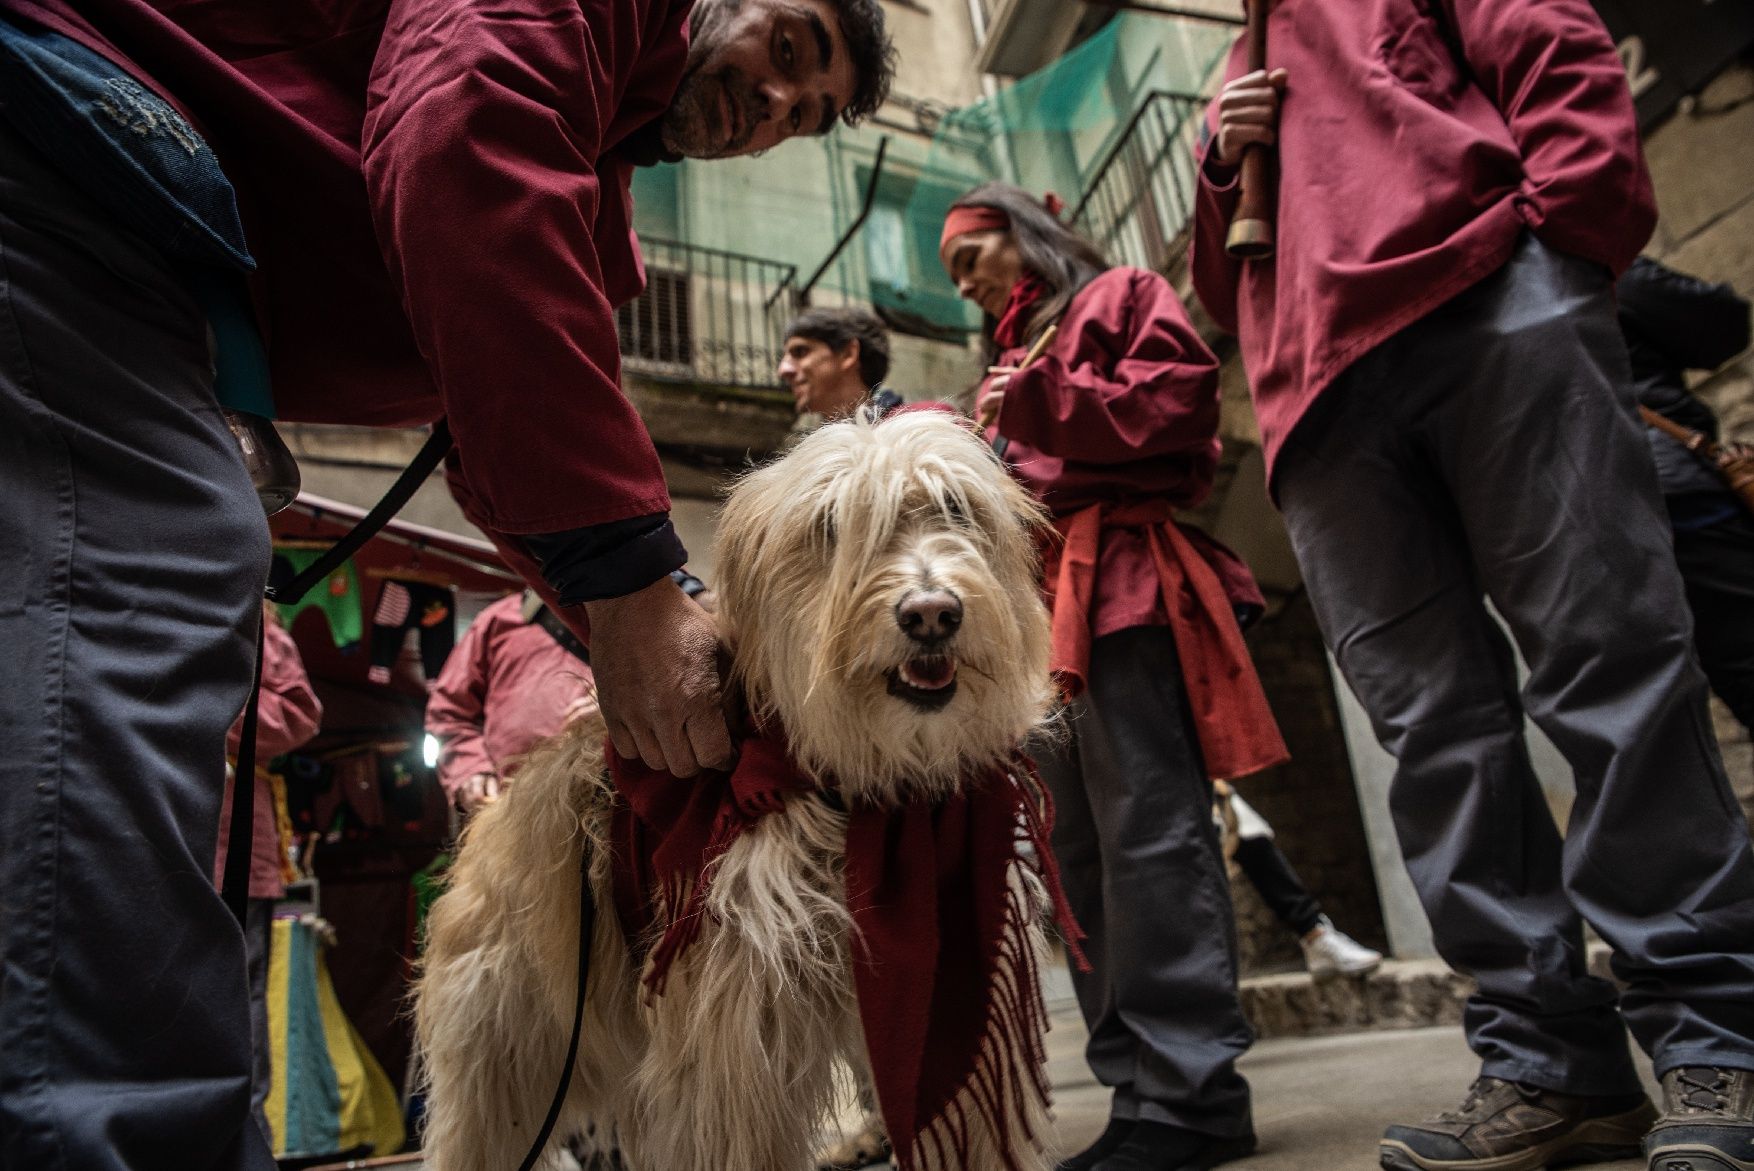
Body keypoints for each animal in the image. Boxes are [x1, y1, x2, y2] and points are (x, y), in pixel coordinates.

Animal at [417, 410, 1059, 1171]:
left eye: (956, 507)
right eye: (830, 525)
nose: (931, 612)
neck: (859, 792)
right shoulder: (733, 1060)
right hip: (507, 1066)